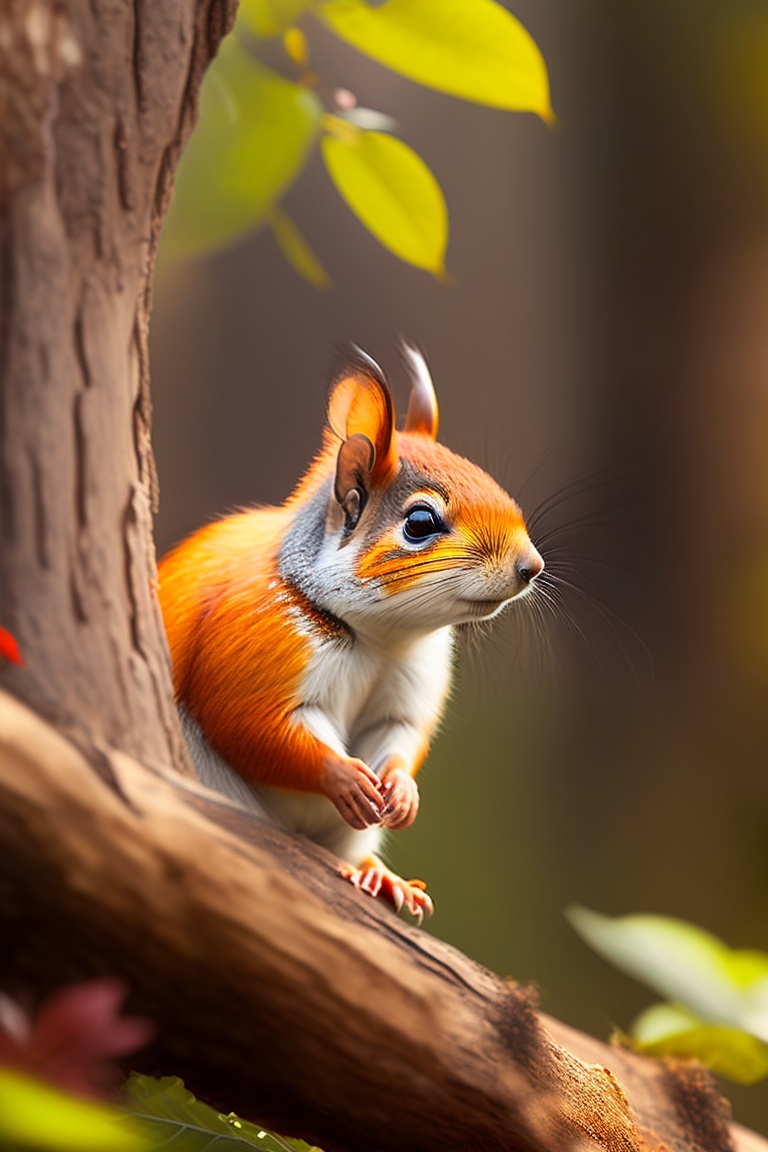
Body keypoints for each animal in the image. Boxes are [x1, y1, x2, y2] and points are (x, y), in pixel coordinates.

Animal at [158, 345, 543, 923]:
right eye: (420, 522)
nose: (531, 566)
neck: (381, 638)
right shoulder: (253, 650)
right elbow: (253, 727)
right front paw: (342, 776)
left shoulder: (412, 680)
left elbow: (401, 731)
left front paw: (402, 790)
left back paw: (378, 874)